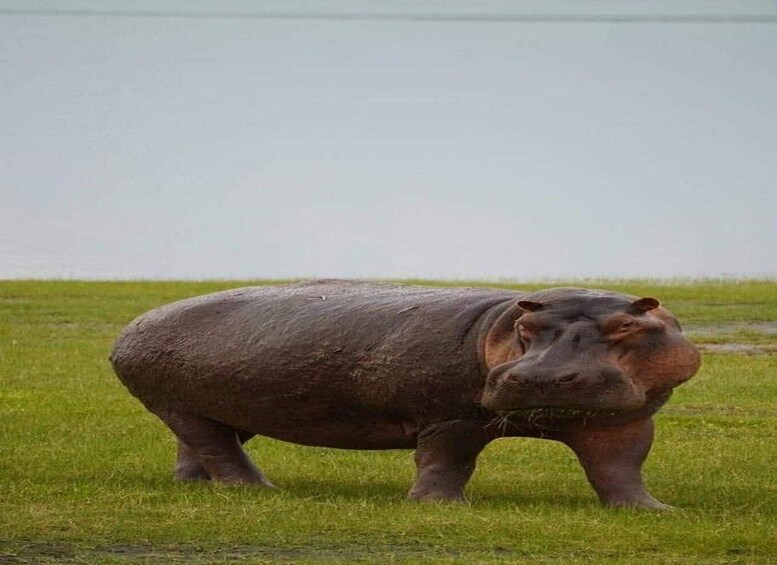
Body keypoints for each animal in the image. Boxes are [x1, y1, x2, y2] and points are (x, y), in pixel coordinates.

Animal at [110, 280, 700, 508]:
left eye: (627, 325)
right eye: (527, 327)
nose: (543, 376)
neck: (496, 326)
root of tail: (132, 325)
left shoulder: (625, 422)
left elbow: (619, 468)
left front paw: (653, 510)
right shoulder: (451, 418)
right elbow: (447, 460)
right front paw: (439, 507)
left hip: (220, 406)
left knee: (201, 444)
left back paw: (191, 485)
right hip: (176, 403)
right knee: (218, 449)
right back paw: (257, 490)